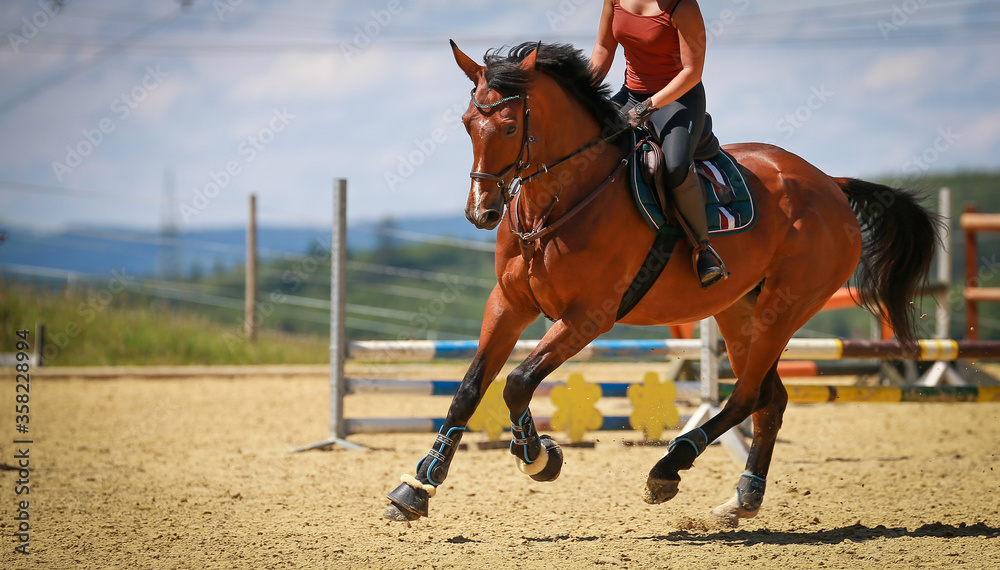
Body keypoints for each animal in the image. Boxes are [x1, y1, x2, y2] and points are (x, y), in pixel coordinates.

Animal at [383, 41, 940, 526]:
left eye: (509, 124)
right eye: (467, 123)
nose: (482, 212)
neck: (560, 201)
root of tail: (831, 184)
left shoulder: (589, 316)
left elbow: (519, 381)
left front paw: (537, 456)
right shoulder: (509, 303)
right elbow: (471, 386)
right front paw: (420, 485)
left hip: (783, 309)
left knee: (746, 396)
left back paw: (668, 469)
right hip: (738, 311)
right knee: (770, 399)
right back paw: (742, 498)